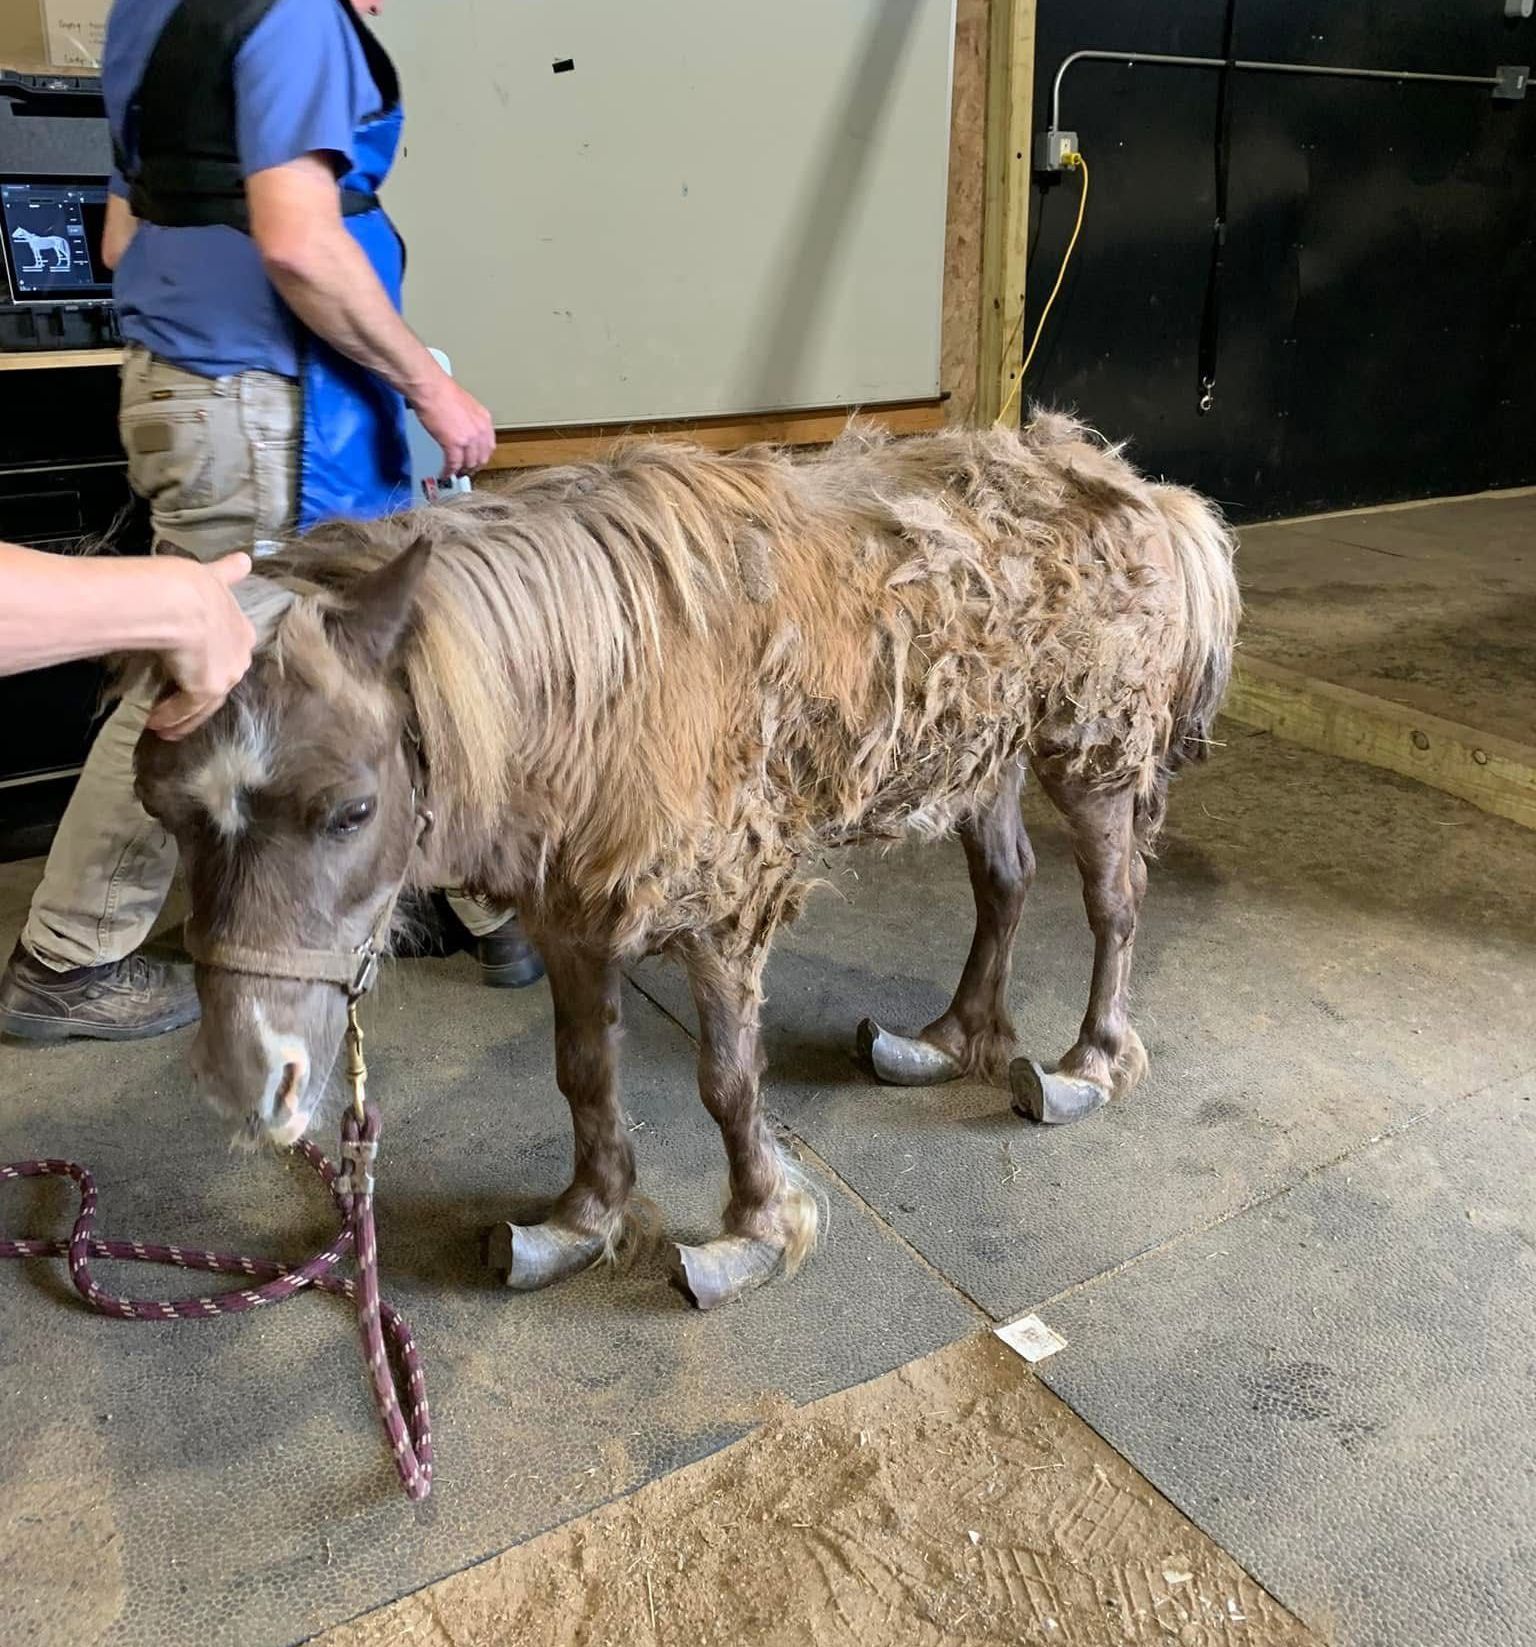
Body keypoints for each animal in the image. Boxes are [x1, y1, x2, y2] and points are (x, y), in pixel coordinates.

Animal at [133, 414, 1238, 1311]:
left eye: (351, 810)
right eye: (163, 808)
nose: (246, 1083)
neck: (594, 685)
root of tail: (1142, 488)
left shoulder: (723, 914)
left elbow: (727, 1082)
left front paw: (756, 1234)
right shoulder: (570, 914)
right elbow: (583, 1071)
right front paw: (581, 1220)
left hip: (1089, 750)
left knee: (1113, 905)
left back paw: (1086, 1066)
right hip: (982, 754)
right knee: (1005, 885)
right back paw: (950, 1041)